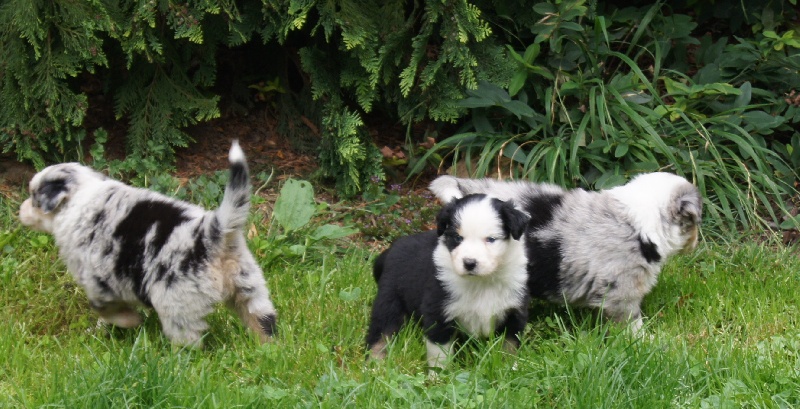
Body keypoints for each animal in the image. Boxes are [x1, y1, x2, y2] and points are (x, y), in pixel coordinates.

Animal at [20, 142, 276, 346]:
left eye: (34, 198)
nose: (20, 211)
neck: (80, 196)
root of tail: (212, 232)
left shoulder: (97, 282)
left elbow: (105, 309)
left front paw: (129, 321)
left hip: (176, 302)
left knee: (188, 339)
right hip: (250, 287)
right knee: (263, 322)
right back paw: (267, 350)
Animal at [368, 193, 532, 368]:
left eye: (491, 239)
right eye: (458, 238)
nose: (469, 263)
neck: (481, 282)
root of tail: (392, 249)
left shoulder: (514, 312)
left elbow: (508, 348)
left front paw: (508, 368)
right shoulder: (438, 311)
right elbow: (439, 353)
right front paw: (439, 374)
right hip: (389, 300)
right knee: (381, 332)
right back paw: (374, 365)